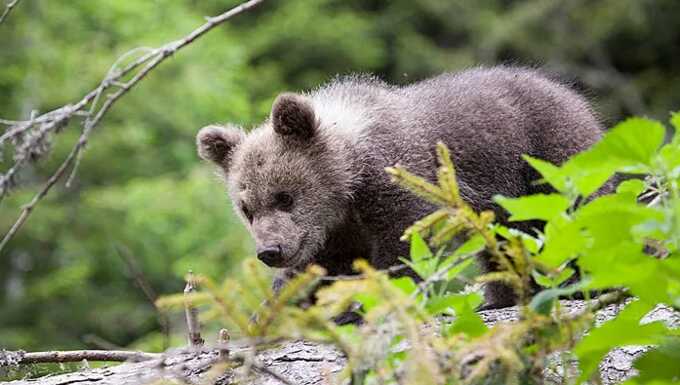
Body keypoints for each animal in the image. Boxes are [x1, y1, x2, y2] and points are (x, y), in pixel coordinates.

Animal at [197, 64, 604, 308]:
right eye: (247, 208)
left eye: (284, 197)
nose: (270, 250)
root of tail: (572, 94)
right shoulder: (335, 232)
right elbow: (324, 267)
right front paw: (283, 300)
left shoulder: (400, 181)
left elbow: (403, 247)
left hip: (550, 160)